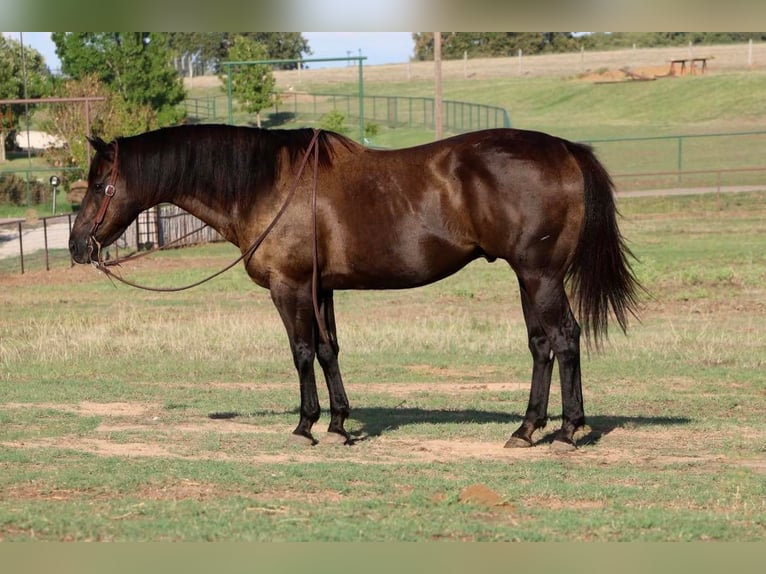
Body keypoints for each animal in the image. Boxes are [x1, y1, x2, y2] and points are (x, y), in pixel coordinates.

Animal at [69, 126, 640, 454]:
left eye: (99, 185)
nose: (76, 246)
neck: (267, 183)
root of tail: (565, 150)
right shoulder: (320, 288)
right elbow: (328, 350)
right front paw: (340, 424)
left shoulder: (289, 287)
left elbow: (301, 352)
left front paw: (305, 425)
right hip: (527, 277)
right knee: (542, 346)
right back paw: (527, 429)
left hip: (540, 276)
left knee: (565, 339)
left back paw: (566, 432)